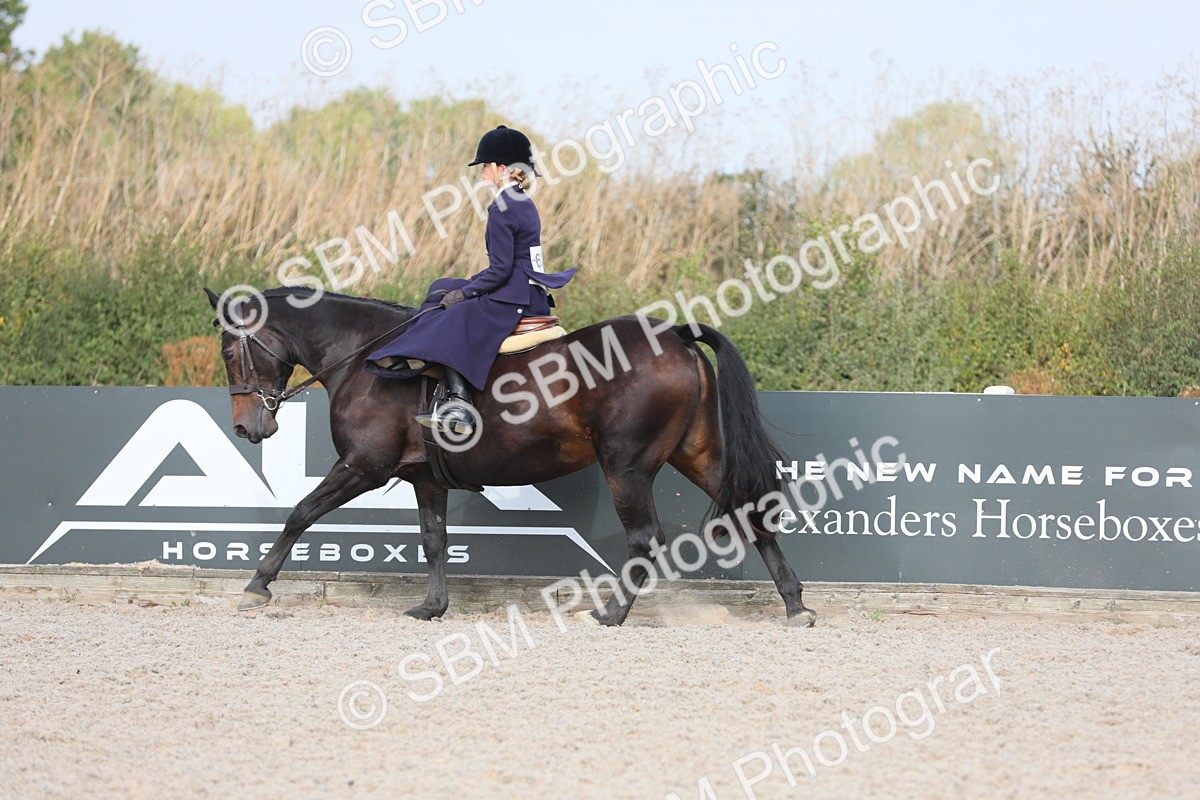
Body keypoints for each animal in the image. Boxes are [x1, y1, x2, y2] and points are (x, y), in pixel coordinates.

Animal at [204, 286, 816, 627]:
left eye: (231, 349)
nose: (246, 426)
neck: (365, 359)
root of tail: (676, 337)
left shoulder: (362, 467)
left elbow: (301, 513)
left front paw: (257, 587)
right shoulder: (424, 477)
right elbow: (433, 540)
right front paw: (432, 607)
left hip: (627, 465)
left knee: (646, 539)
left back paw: (611, 614)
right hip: (696, 452)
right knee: (750, 515)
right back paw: (795, 607)